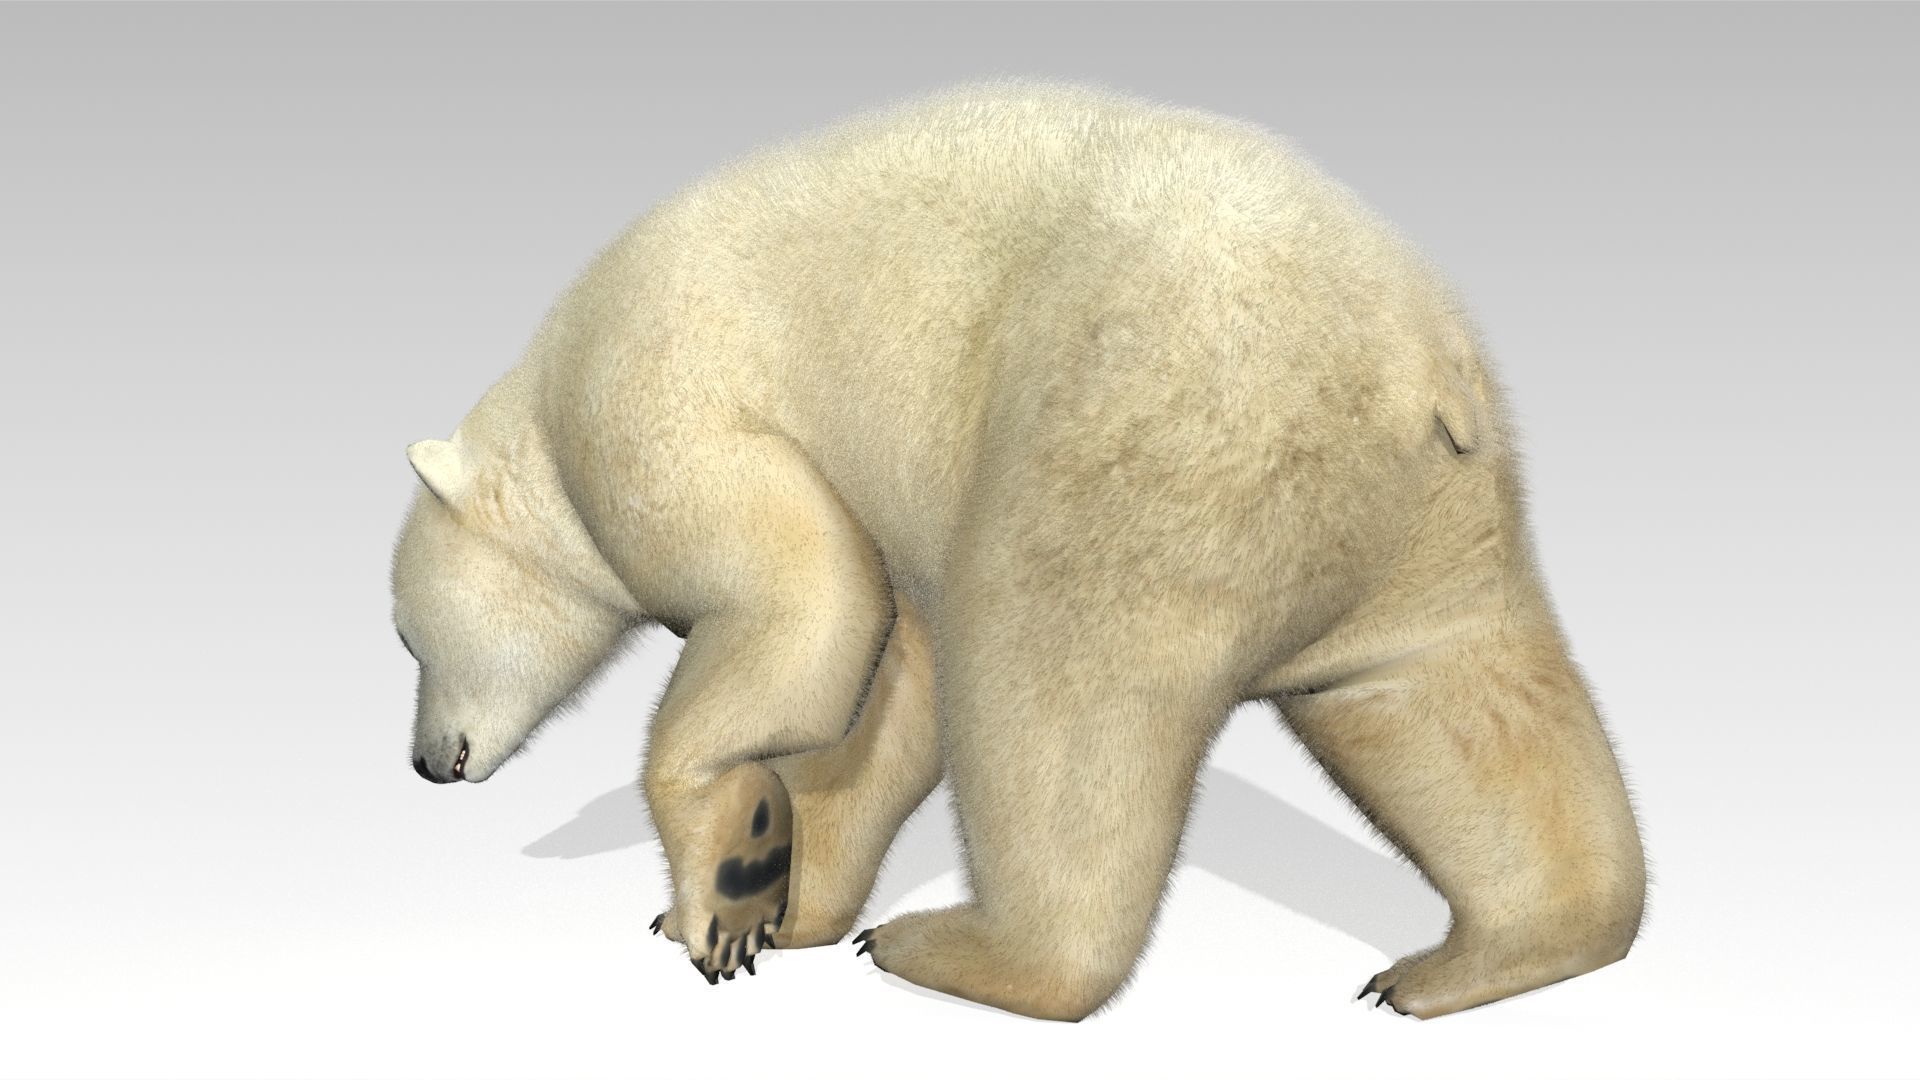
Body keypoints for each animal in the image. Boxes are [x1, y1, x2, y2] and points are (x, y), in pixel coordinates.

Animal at [390, 77, 1646, 1021]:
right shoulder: (883, 503)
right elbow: (878, 691)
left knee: (1053, 689)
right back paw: (1491, 953)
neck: (550, 404)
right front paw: (787, 902)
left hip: (1155, 433)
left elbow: (800, 600)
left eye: (405, 635)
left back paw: (960, 948)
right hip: (1425, 528)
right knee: (1442, 697)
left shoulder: (662, 405)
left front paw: (726, 877)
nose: (424, 764)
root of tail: (1420, 370)